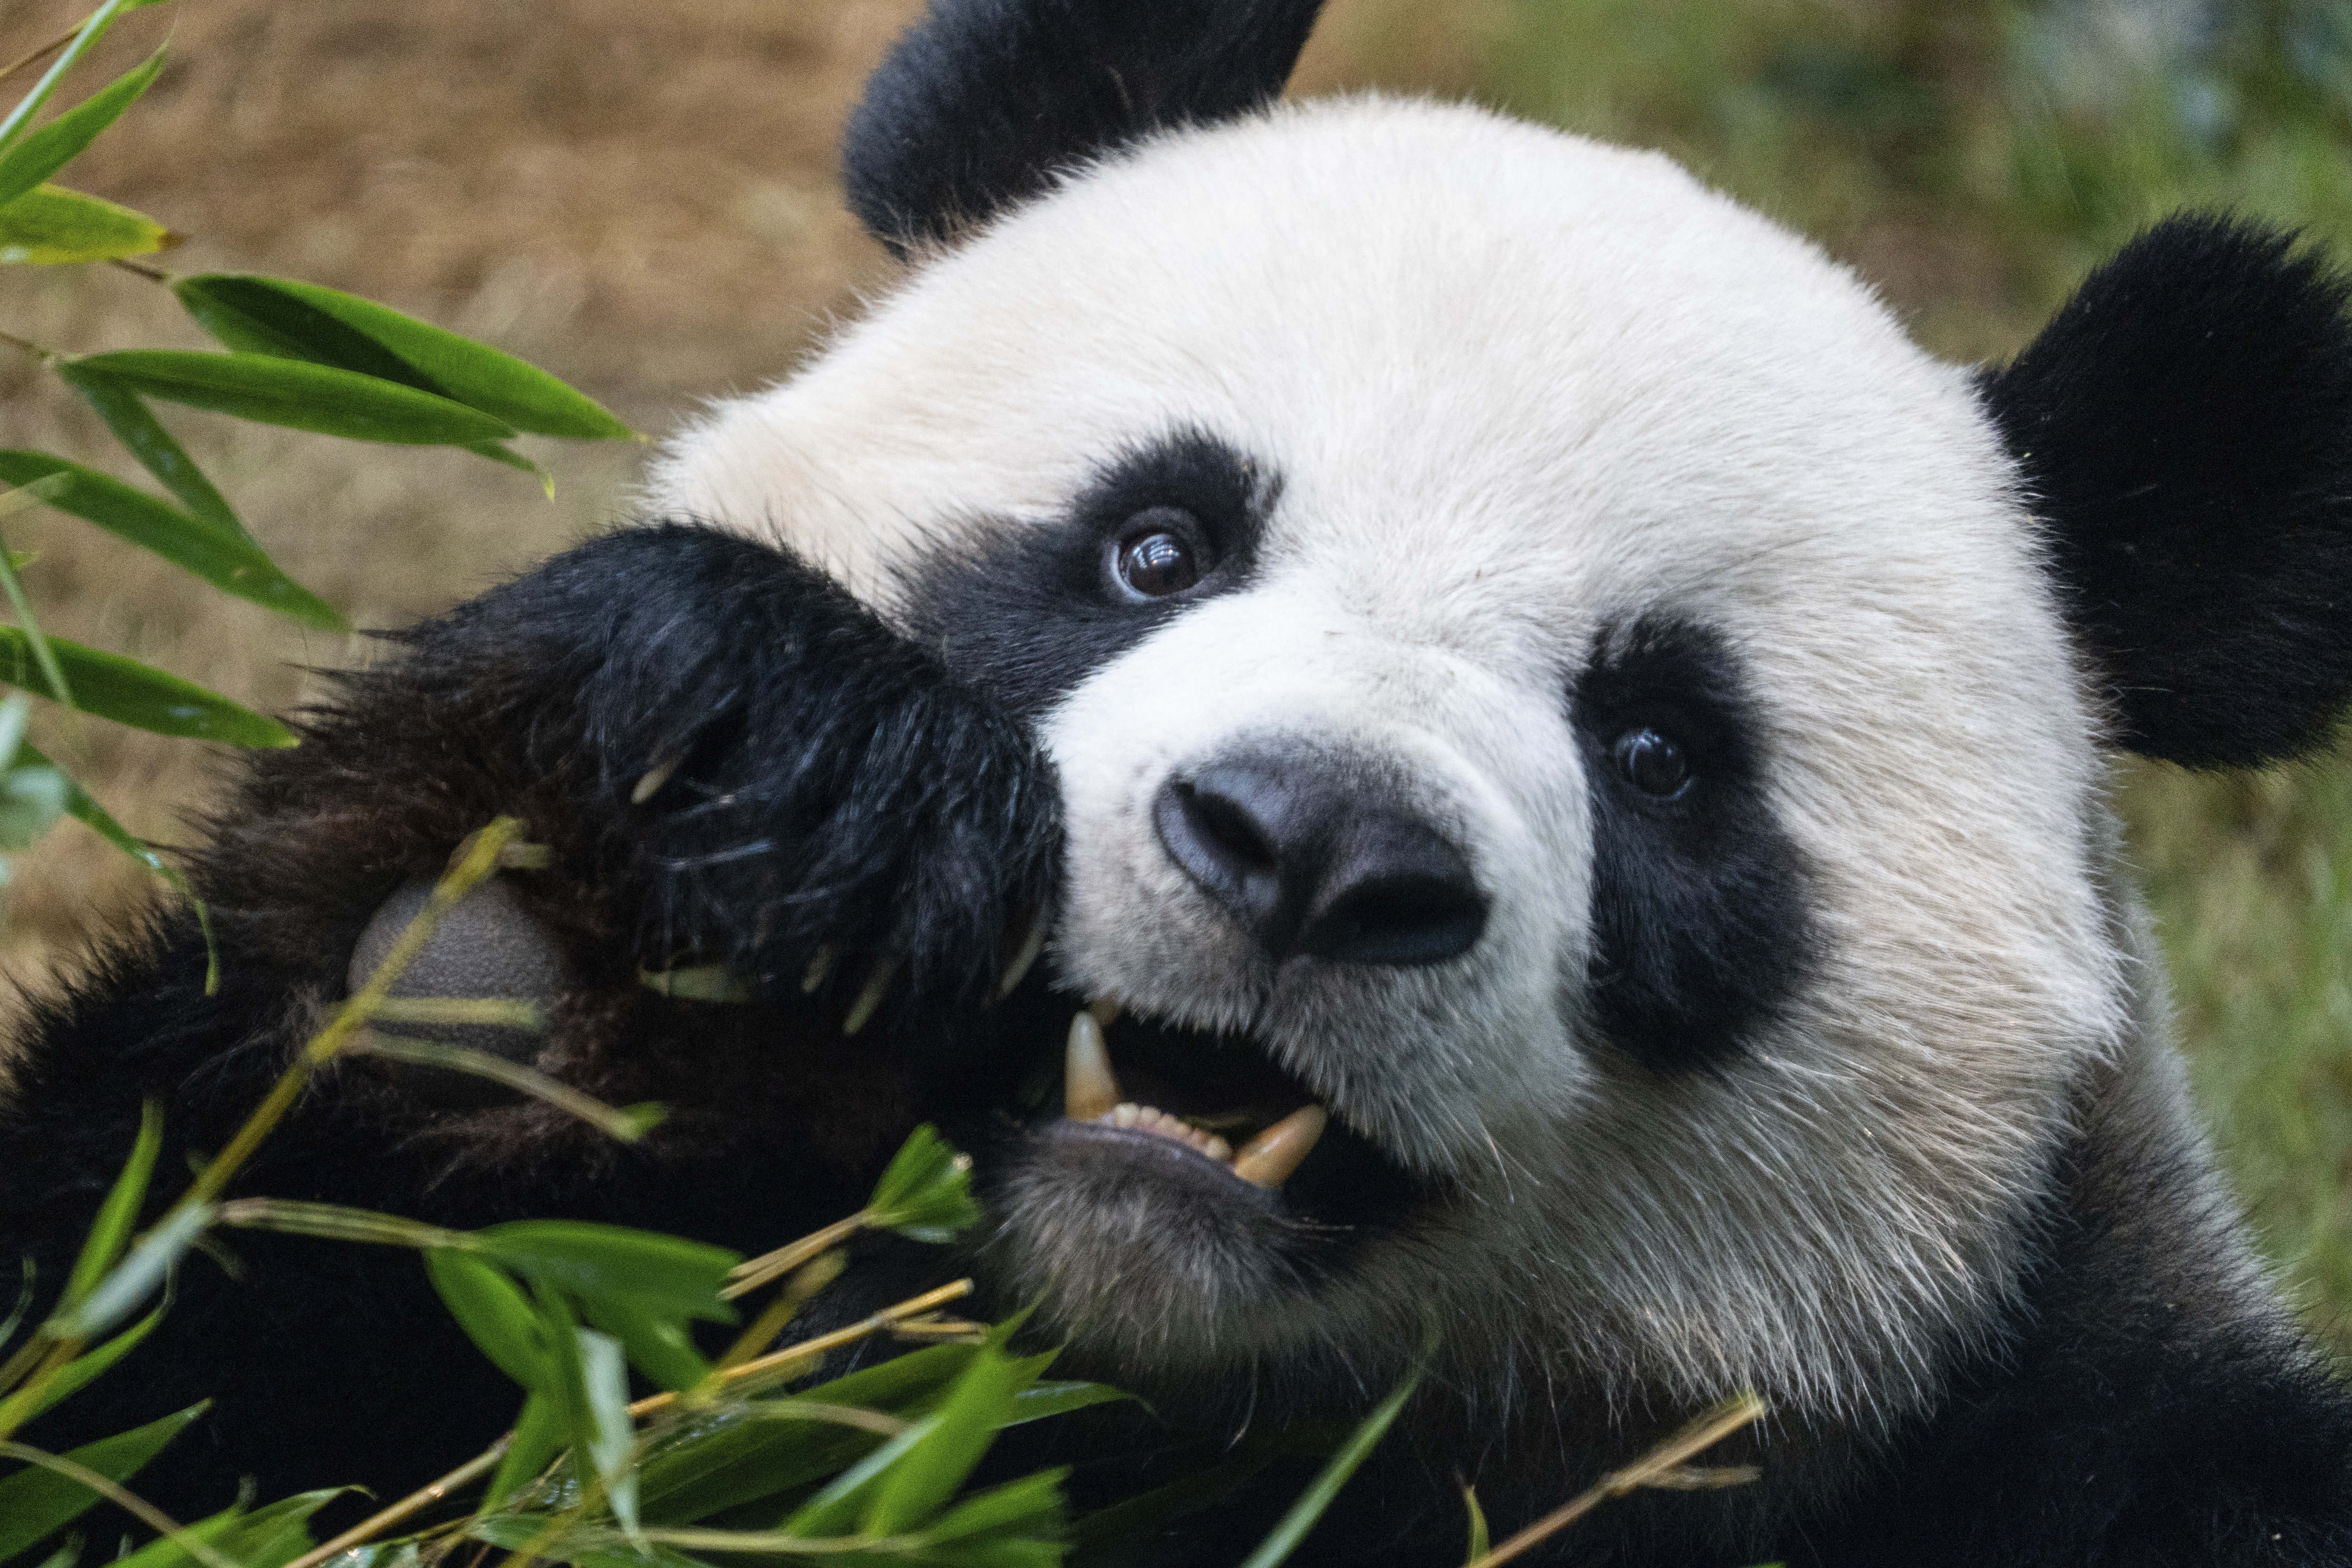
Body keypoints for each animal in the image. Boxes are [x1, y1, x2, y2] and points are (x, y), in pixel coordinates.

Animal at [4, 0, 2352, 1561]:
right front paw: (613, 883)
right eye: (1155, 544)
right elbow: (149, 1340)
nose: (1314, 850)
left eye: (1661, 748)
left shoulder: (2064, 1433)